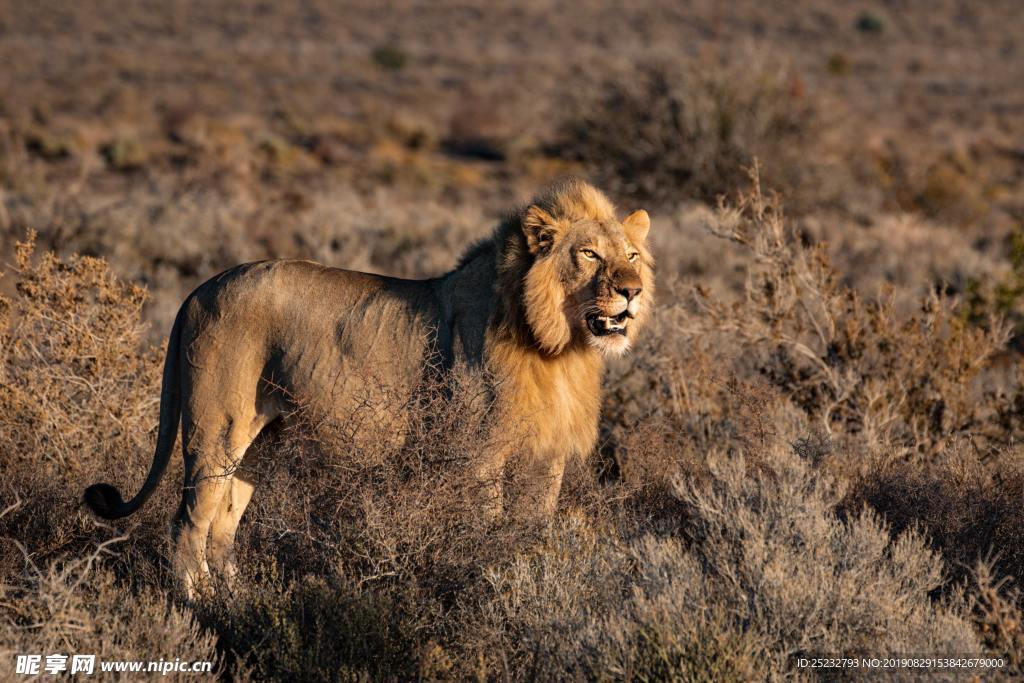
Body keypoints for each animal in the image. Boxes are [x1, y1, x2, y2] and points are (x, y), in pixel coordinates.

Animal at [83, 180, 651, 598]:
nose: (633, 291)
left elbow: (531, 530)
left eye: (631, 255)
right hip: (216, 429)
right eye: (589, 255)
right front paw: (489, 581)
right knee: (187, 524)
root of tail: (198, 290)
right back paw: (198, 607)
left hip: (261, 442)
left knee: (223, 527)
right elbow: (487, 529)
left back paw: (239, 601)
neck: (559, 348)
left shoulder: (546, 457)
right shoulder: (480, 455)